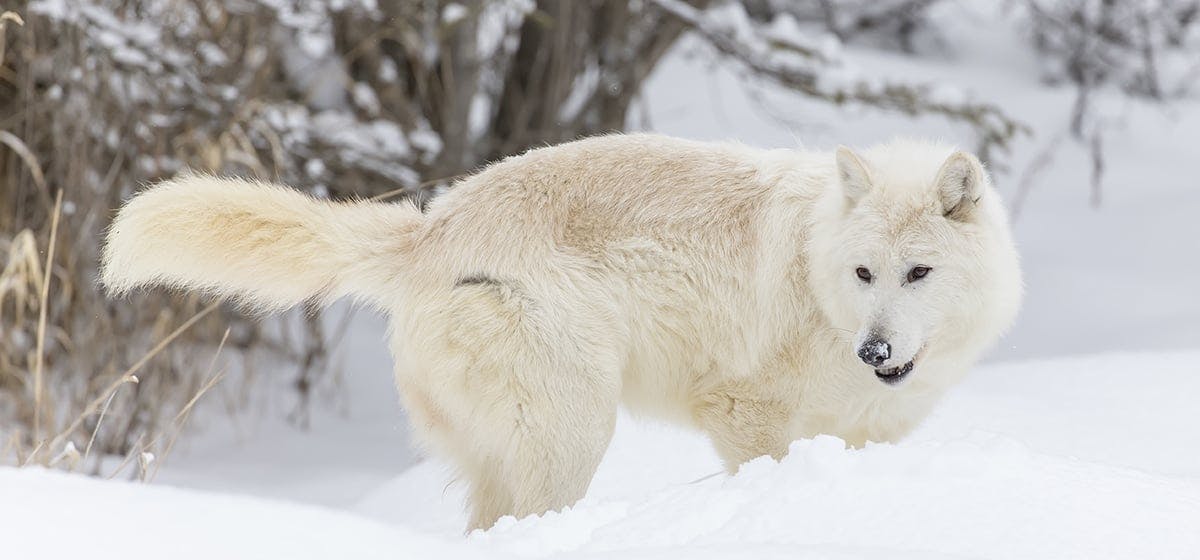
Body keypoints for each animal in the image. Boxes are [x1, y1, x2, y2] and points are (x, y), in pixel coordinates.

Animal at [105, 133, 1022, 532]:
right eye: (865, 274)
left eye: (918, 274)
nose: (875, 350)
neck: (818, 279)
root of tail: (429, 229)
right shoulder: (742, 411)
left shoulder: (869, 435)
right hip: (577, 431)